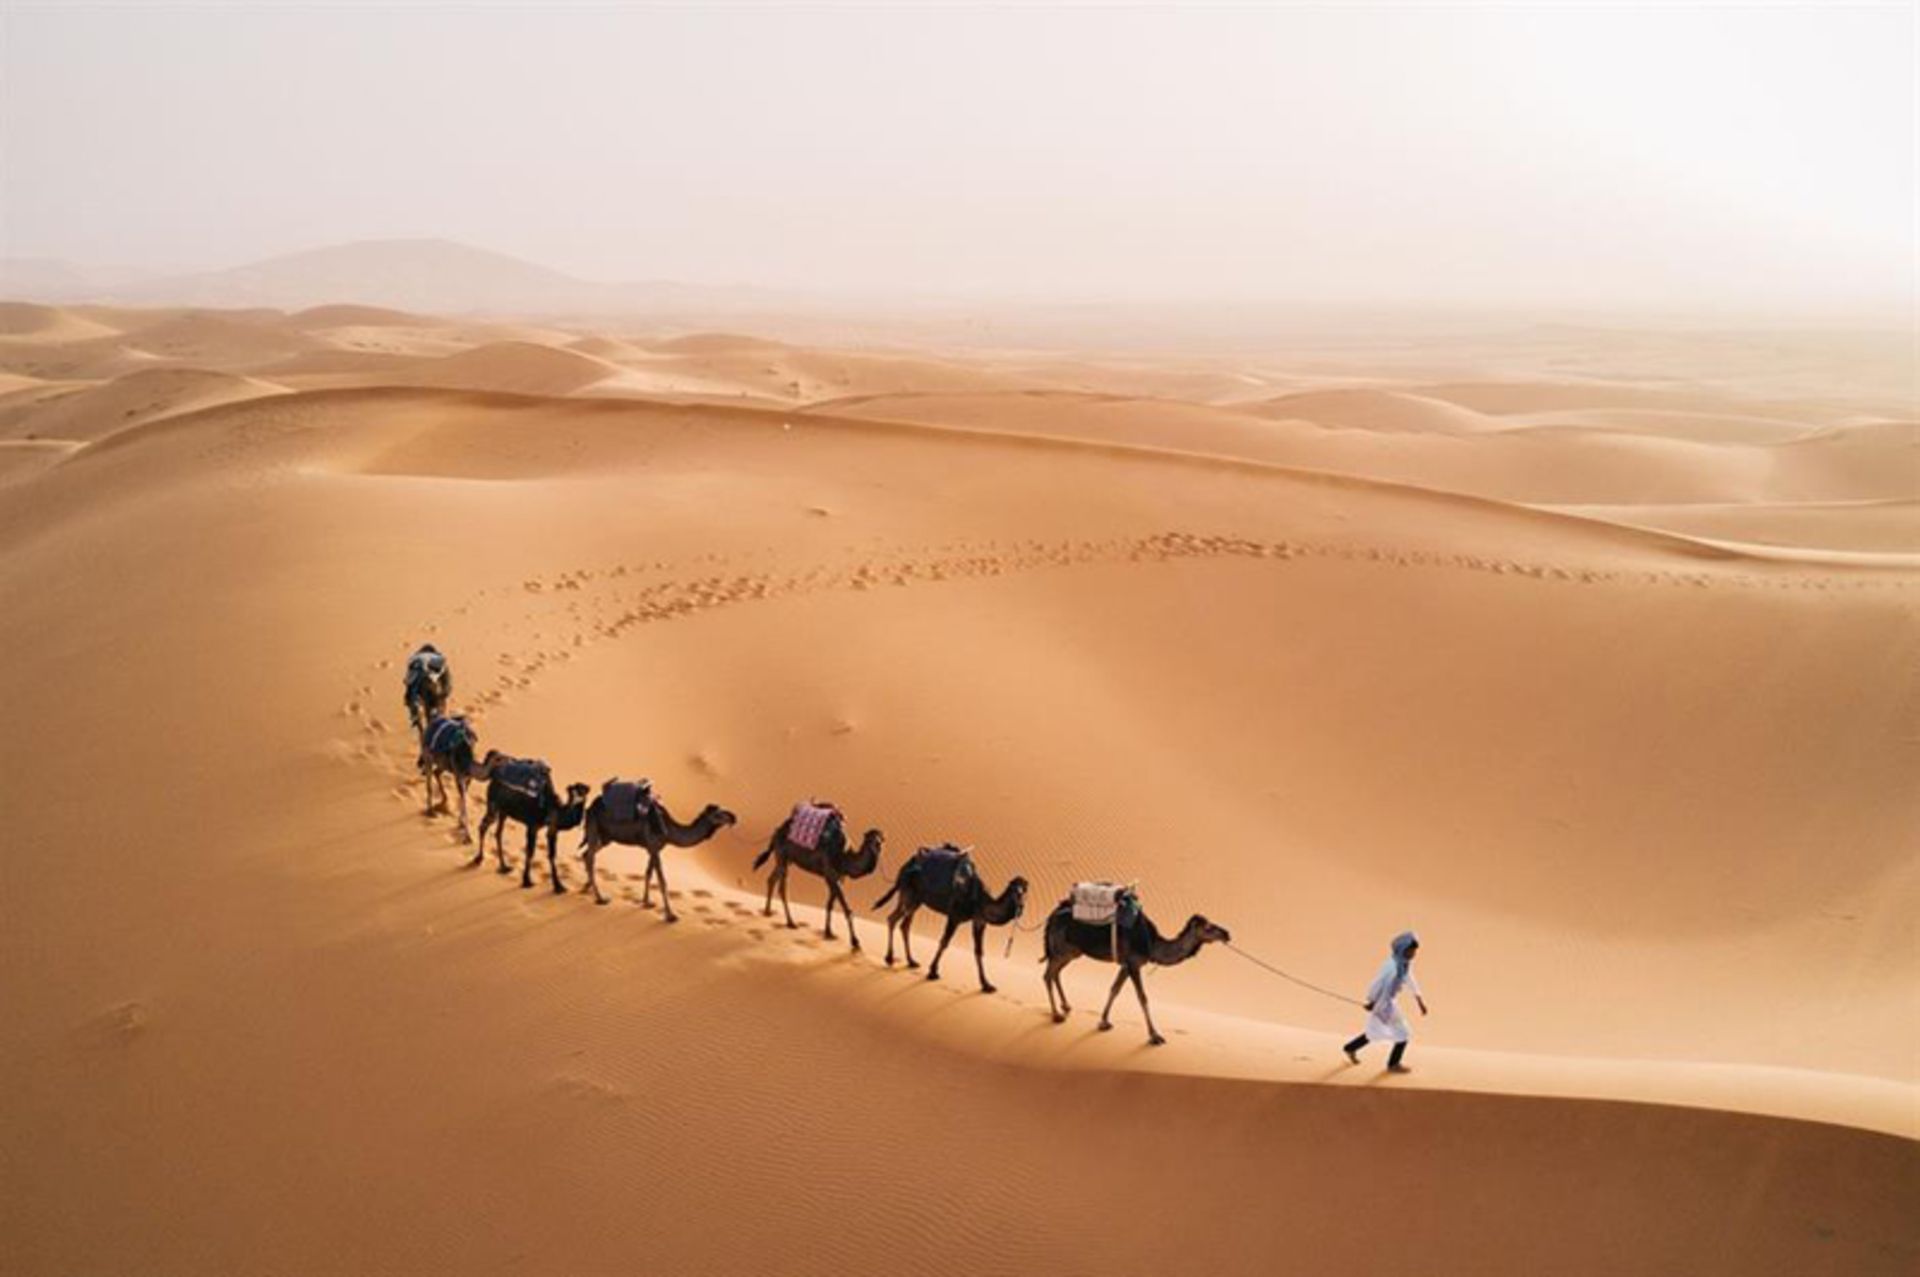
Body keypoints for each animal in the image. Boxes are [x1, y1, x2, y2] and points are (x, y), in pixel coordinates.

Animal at [472, 758, 591, 893]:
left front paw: (558, 886)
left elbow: (552, 855)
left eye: (583, 790)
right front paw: (527, 881)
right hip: (493, 805)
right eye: (572, 791)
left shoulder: (552, 829)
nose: (578, 799)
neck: (552, 808)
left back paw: (504, 867)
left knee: (498, 833)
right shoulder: (532, 825)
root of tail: (494, 777)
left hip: (504, 811)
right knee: (483, 826)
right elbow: (530, 852)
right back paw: (479, 858)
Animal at [578, 782, 737, 921]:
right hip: (594, 827)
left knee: (586, 854)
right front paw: (670, 915)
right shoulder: (654, 847)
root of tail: (590, 807)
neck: (669, 830)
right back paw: (600, 898)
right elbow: (661, 880)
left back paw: (586, 888)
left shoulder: (653, 848)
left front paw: (647, 902)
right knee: (590, 857)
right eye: (718, 815)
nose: (733, 817)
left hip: (606, 837)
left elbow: (648, 873)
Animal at [752, 807, 884, 949]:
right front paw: (855, 941)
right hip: (782, 855)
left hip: (786, 859)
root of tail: (777, 830)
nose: (878, 844)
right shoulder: (830, 875)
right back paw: (790, 922)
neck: (845, 857)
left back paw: (767, 911)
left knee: (771, 879)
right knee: (782, 888)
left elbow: (830, 904)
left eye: (882, 838)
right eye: (870, 838)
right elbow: (847, 909)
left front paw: (828, 932)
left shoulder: (838, 878)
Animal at [873, 847, 1028, 992]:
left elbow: (979, 951)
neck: (980, 899)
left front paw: (986, 984)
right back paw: (890, 958)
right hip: (909, 894)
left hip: (917, 900)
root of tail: (907, 865)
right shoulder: (954, 916)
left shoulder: (979, 921)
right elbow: (944, 942)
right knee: (894, 919)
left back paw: (910, 961)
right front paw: (933, 971)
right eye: (1015, 888)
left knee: (902, 923)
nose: (1021, 906)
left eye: (1026, 889)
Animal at [1041, 904, 1231, 1045]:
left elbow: (1114, 989)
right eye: (1208, 927)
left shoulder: (1126, 965)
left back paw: (1066, 1006)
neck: (1152, 943)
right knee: (1048, 975)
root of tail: (1052, 916)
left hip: (1071, 951)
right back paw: (1057, 1015)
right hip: (1061, 948)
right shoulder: (1133, 964)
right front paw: (1154, 1036)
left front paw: (1104, 1022)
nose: (1227, 933)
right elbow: (1142, 997)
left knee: (1056, 972)